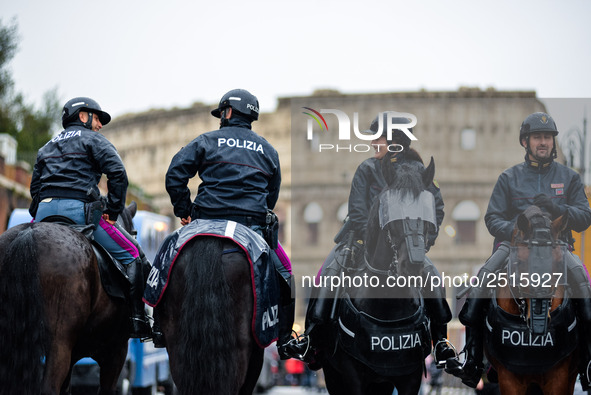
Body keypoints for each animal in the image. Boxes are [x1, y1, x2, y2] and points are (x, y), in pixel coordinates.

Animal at [316, 159, 442, 395]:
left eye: (425, 211)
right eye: (392, 210)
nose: (412, 264)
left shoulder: (410, 378)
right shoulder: (352, 377)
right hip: (333, 376)